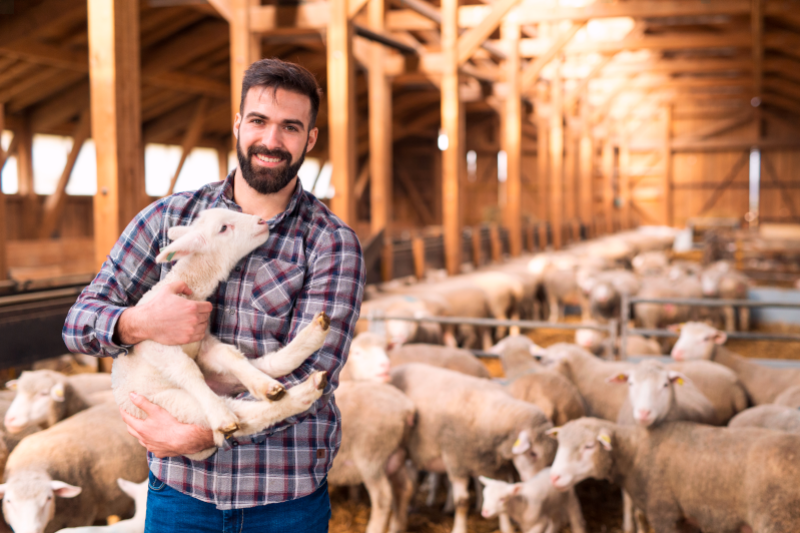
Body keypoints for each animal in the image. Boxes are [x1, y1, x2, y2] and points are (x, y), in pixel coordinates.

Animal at [110, 206, 332, 460]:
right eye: (224, 228)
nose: (262, 221)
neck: (190, 290)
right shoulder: (154, 343)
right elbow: (187, 370)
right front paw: (221, 415)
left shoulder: (203, 343)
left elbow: (229, 355)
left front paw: (266, 386)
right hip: (173, 405)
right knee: (246, 416)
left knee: (266, 366)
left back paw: (305, 349)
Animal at [390, 364, 556, 533]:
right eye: (533, 453)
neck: (491, 419)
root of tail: (401, 367)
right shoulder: (456, 461)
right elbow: (462, 502)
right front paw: (459, 529)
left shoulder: (494, 468)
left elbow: (502, 498)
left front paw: (507, 528)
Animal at [552, 418, 800, 532]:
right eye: (560, 443)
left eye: (589, 446)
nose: (554, 477)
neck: (635, 453)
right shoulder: (687, 516)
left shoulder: (665, 513)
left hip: (779, 520)